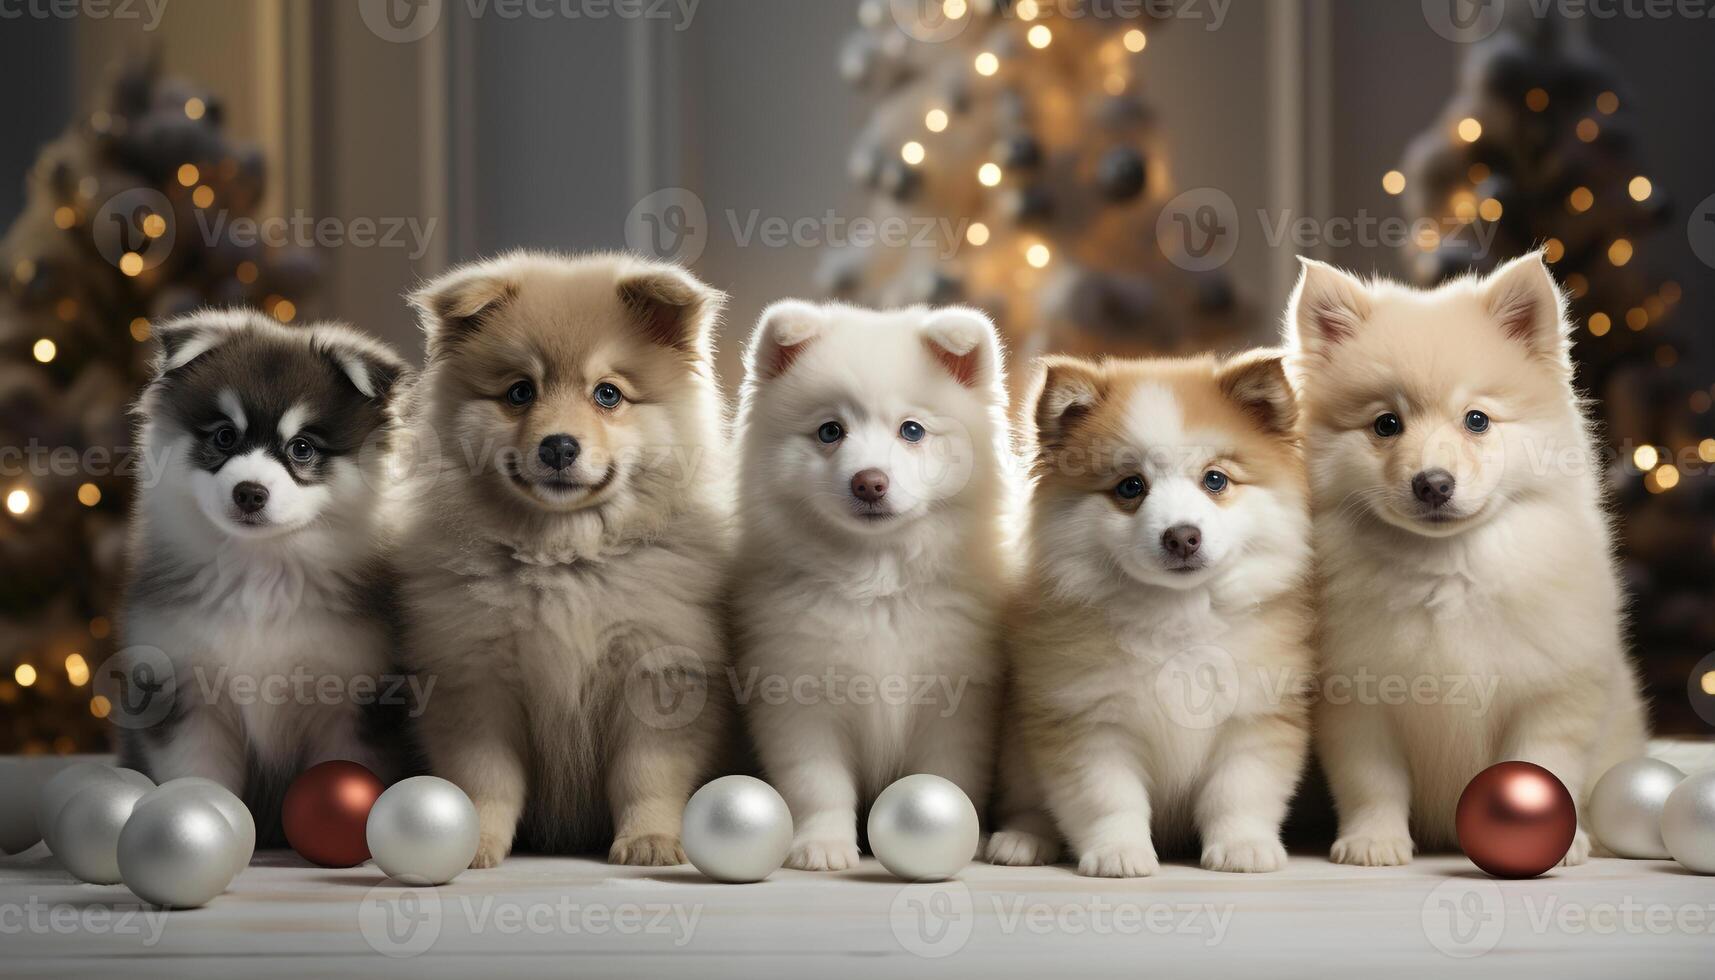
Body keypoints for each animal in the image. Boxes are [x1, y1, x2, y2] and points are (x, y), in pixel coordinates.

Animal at [118, 308, 415, 844]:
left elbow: (346, 770)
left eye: (302, 448)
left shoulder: (354, 704)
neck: (262, 571)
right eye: (224, 436)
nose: (250, 492)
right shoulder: (187, 695)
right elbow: (198, 776)